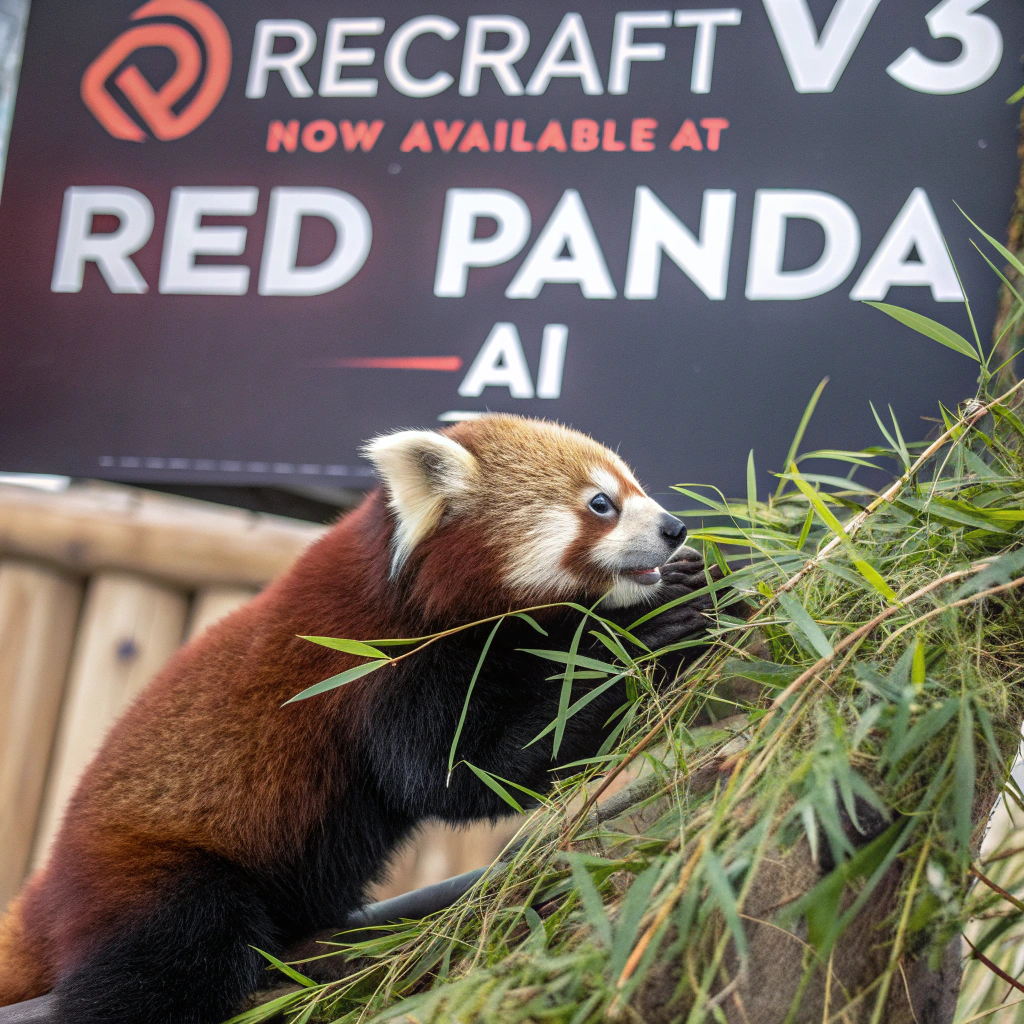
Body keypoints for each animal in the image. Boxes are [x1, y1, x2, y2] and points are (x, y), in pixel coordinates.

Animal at [0, 415, 720, 1024]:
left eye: (635, 487)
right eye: (601, 504)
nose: (676, 529)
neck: (417, 588)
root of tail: (47, 886)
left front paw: (694, 583)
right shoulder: (382, 667)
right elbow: (455, 777)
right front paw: (648, 640)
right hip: (149, 876)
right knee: (170, 960)